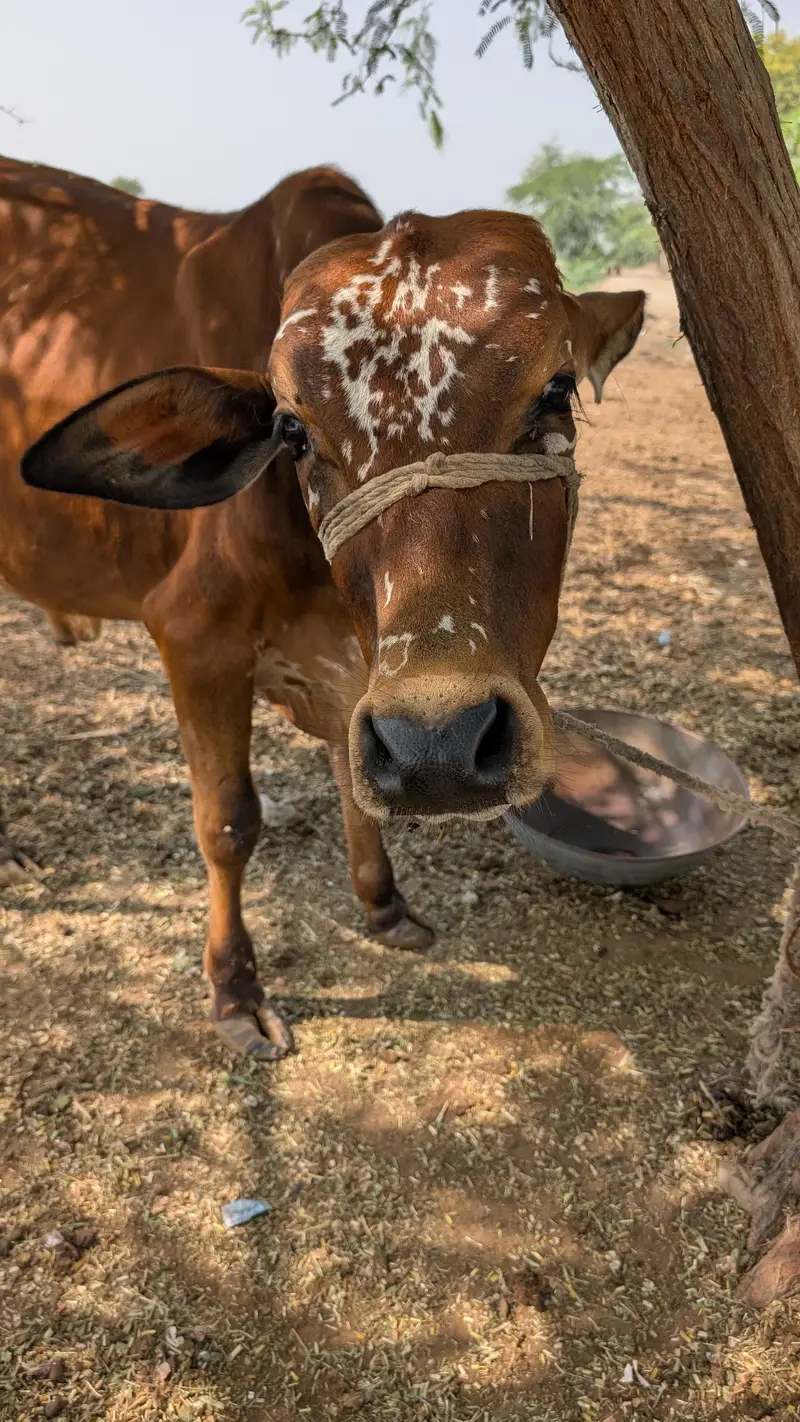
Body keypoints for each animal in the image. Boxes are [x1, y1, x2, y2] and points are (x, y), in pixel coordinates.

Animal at [6, 161, 646, 1062]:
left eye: (556, 389)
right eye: (292, 430)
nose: (443, 746)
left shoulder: (360, 679)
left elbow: (352, 774)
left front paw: (384, 905)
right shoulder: (195, 640)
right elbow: (228, 823)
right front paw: (236, 991)